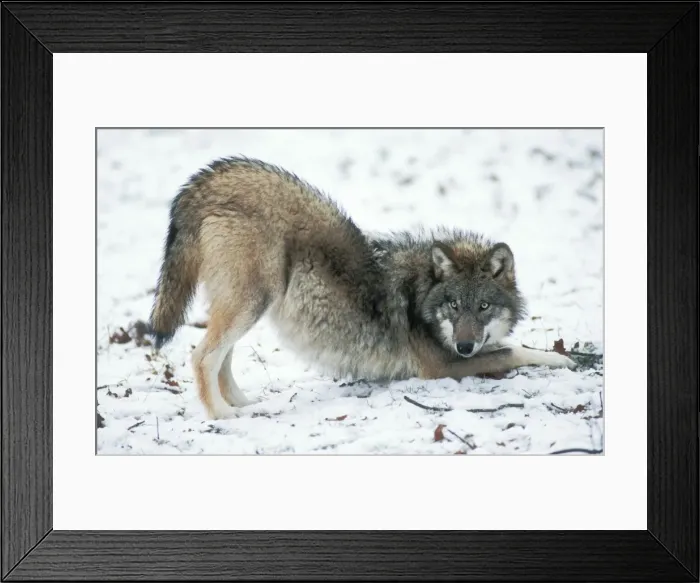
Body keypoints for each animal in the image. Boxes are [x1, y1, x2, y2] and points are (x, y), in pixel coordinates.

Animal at [149, 157, 576, 420]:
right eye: (454, 305)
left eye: (483, 307)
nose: (465, 345)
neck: (421, 293)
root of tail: (214, 179)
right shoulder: (440, 366)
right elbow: (513, 351)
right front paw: (565, 360)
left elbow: (508, 345)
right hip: (251, 302)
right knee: (202, 357)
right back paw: (222, 414)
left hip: (248, 304)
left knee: (223, 357)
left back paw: (244, 404)